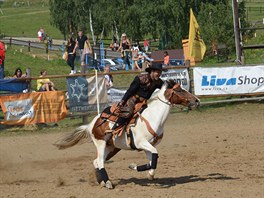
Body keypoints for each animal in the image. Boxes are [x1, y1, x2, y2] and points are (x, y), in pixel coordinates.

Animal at [54, 79, 199, 189]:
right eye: (180, 90)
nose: (197, 100)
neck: (153, 116)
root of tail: (93, 123)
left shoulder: (147, 146)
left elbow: (152, 161)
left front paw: (142, 171)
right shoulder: (142, 143)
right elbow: (155, 156)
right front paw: (141, 170)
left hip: (112, 148)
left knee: (96, 161)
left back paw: (102, 182)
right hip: (101, 144)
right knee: (100, 161)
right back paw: (108, 183)